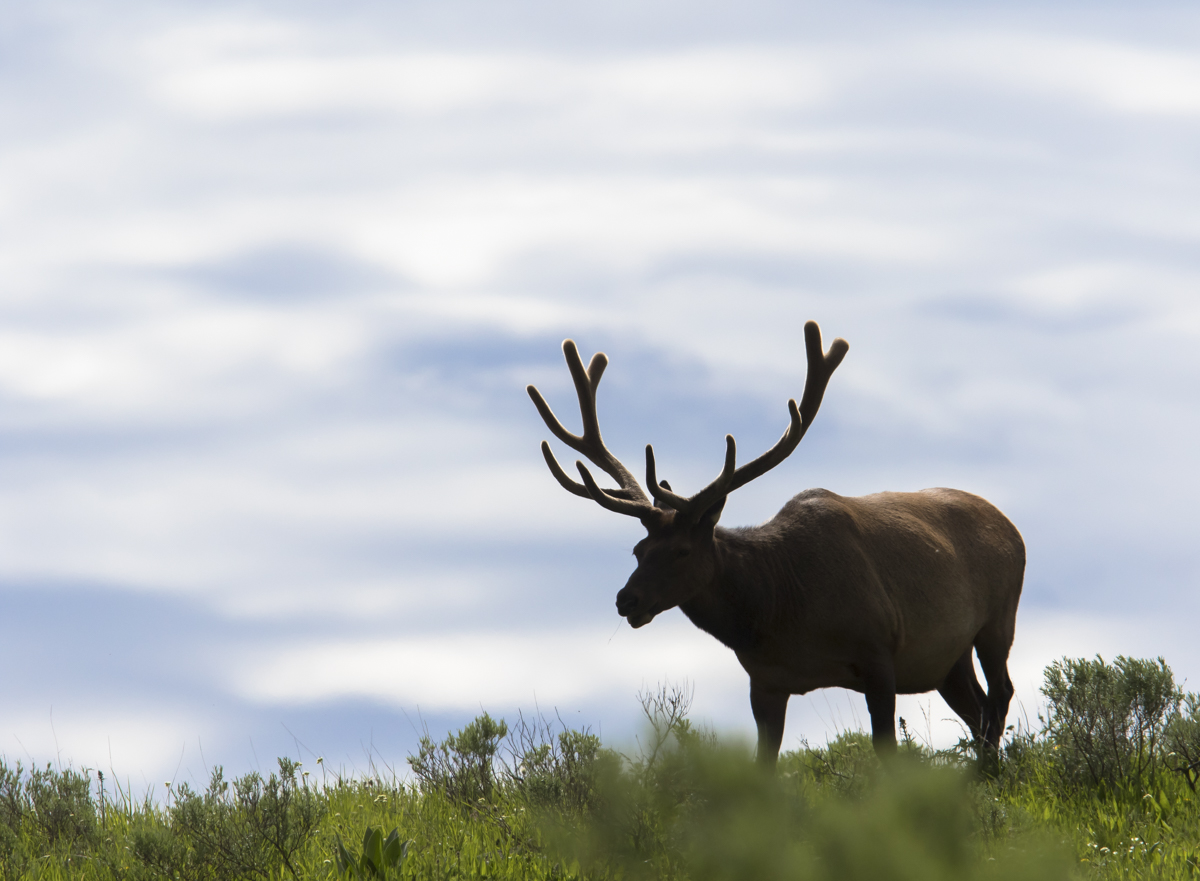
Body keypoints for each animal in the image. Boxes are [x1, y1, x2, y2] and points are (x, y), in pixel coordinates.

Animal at [527, 321, 1025, 767]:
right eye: (637, 550)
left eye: (682, 551)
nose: (626, 599)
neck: (783, 612)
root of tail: (1010, 526)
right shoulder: (764, 682)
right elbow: (762, 769)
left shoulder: (879, 653)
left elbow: (887, 756)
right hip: (948, 658)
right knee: (977, 710)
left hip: (998, 617)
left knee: (999, 696)